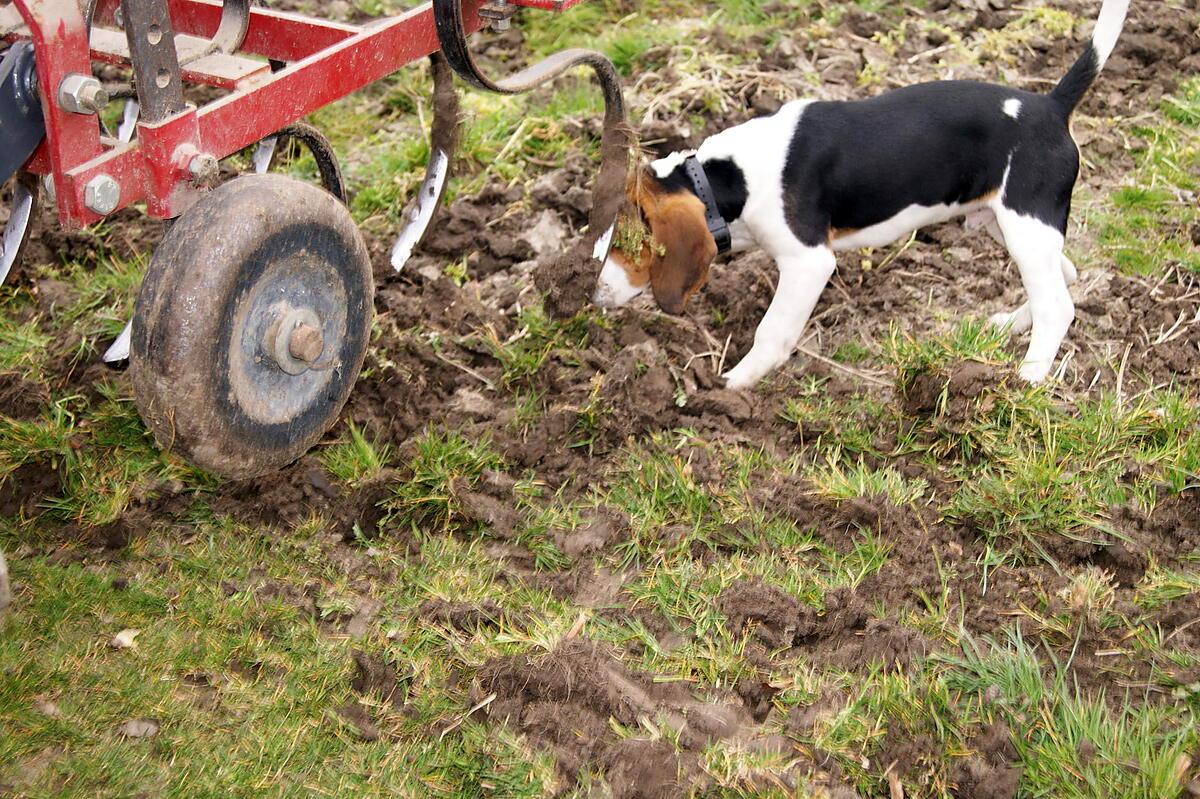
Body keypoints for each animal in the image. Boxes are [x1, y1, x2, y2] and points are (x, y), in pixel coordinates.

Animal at [595, 0, 1128, 386]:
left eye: (628, 242)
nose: (592, 293)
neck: (723, 176)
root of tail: (1050, 106)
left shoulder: (808, 263)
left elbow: (772, 331)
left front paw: (730, 387)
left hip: (1025, 222)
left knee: (1058, 305)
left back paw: (1028, 379)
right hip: (1007, 223)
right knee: (1063, 276)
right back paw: (1007, 326)